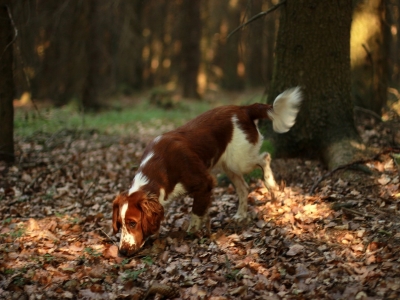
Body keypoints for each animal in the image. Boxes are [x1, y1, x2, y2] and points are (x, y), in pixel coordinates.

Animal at [111, 86, 302, 255]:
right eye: (120, 224)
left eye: (133, 223)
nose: (123, 252)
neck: (161, 169)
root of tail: (243, 109)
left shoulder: (204, 181)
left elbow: (196, 211)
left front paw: (193, 231)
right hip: (229, 165)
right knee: (243, 187)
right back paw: (240, 215)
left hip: (239, 160)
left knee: (265, 158)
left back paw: (272, 187)